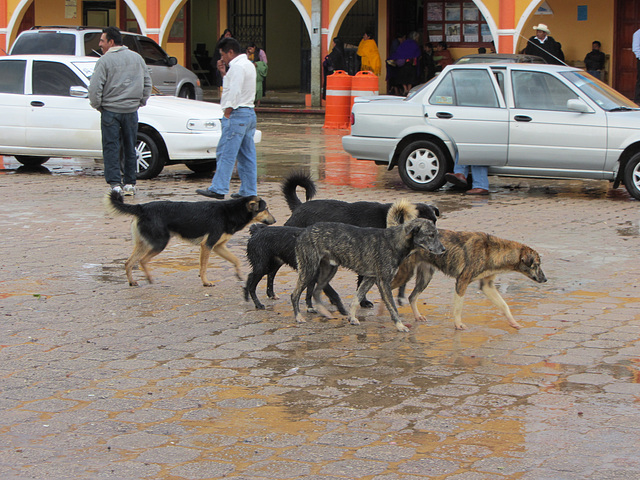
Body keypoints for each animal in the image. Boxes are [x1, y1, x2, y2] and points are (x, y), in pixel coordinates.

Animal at [105, 191, 276, 286]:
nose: (275, 221)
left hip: (144, 243)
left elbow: (235, 259)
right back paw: (149, 278)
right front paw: (206, 282)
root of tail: (141, 207)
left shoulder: (218, 246)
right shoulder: (207, 245)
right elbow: (204, 267)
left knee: (129, 262)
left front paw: (238, 274)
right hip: (159, 243)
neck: (231, 211)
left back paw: (132, 281)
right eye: (266, 209)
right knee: (142, 261)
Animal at [292, 219, 444, 332]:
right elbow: (393, 307)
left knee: (316, 292)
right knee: (295, 295)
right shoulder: (383, 282)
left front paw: (352, 318)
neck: (394, 242)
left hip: (329, 270)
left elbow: (356, 299)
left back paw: (324, 312)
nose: (443, 250)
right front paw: (400, 325)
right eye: (431, 235)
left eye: (436, 234)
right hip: (309, 270)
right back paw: (298, 317)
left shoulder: (370, 279)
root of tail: (303, 231)